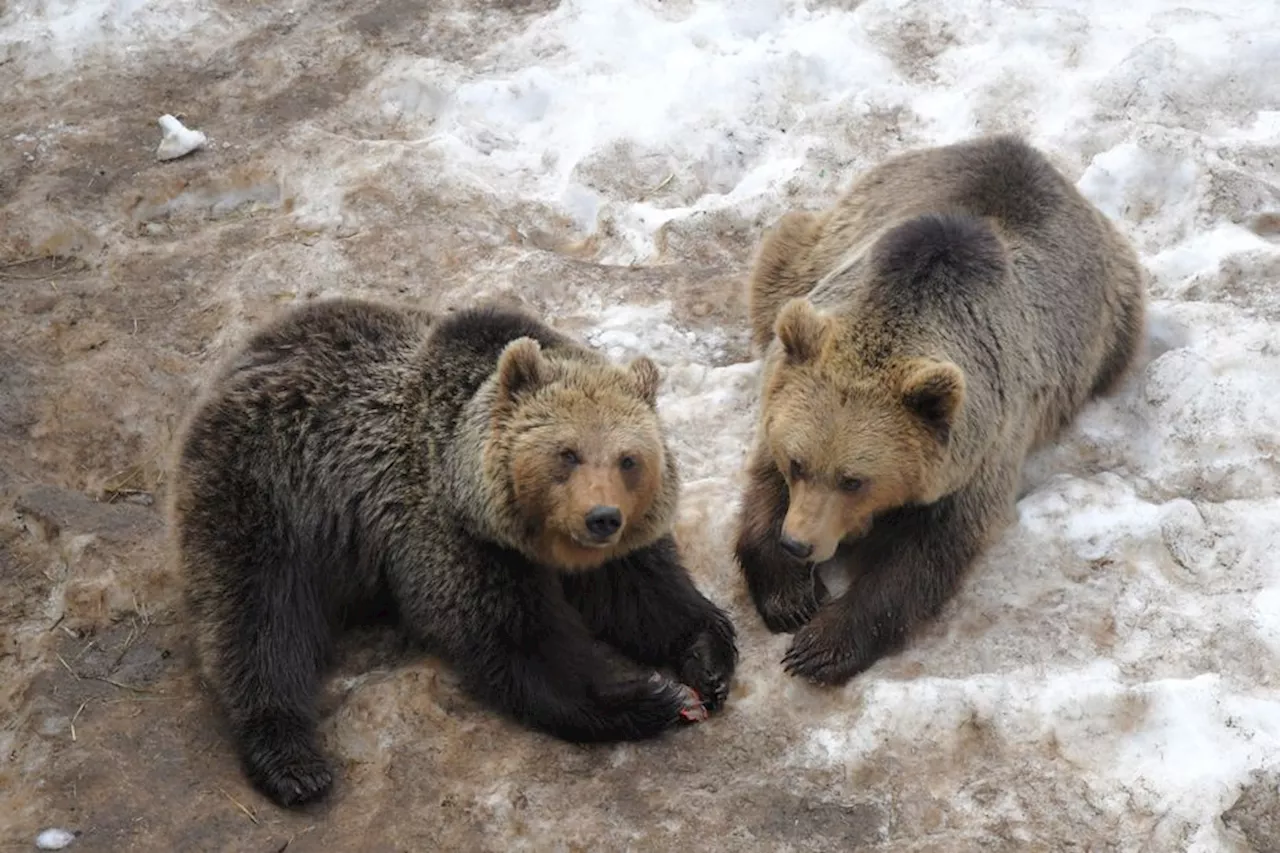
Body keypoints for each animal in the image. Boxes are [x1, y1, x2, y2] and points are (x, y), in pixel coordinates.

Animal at [167, 297, 742, 804]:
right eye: (567, 454)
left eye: (628, 459)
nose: (601, 517)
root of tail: (242, 357)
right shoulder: (447, 533)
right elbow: (515, 638)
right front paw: (648, 696)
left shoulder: (612, 553)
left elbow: (646, 594)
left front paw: (706, 659)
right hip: (270, 494)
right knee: (259, 618)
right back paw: (292, 761)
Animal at [737, 136, 1146, 686]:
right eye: (798, 462)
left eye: (854, 480)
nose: (799, 545)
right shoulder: (786, 396)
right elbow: (762, 489)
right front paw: (791, 598)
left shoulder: (980, 448)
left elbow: (928, 555)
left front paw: (821, 646)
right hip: (820, 244)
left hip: (1110, 317)